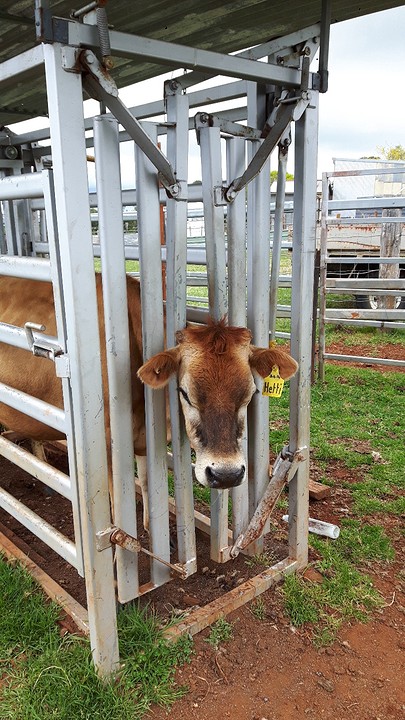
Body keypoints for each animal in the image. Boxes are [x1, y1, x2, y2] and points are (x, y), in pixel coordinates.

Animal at [0, 274, 298, 529]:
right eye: (185, 393)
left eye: (250, 393)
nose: (226, 474)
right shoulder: (106, 449)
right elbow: (115, 509)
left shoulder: (144, 442)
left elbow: (145, 484)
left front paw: (149, 529)